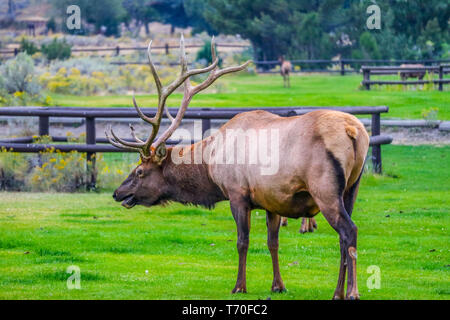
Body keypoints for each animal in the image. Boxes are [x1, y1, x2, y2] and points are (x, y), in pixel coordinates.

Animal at [106, 35, 370, 300]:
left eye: (140, 171)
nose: (117, 192)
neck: (211, 163)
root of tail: (354, 131)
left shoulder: (237, 193)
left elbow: (242, 241)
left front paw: (239, 286)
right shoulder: (271, 200)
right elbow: (272, 242)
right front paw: (278, 285)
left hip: (324, 188)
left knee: (350, 230)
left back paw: (352, 292)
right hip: (352, 188)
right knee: (343, 238)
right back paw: (337, 292)